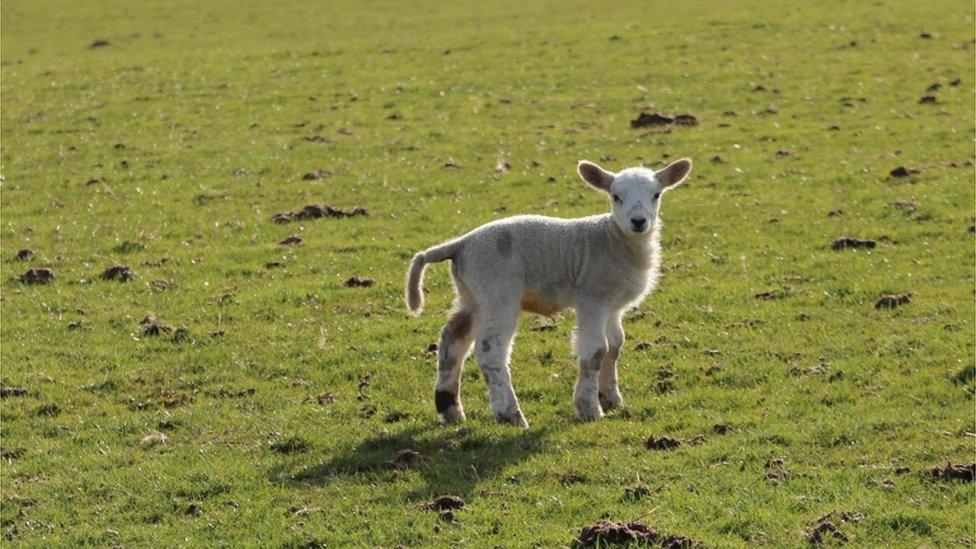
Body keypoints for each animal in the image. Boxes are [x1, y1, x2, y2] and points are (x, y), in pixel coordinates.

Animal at [406, 156, 692, 426]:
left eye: (656, 195)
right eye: (616, 196)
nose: (638, 221)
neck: (613, 240)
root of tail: (461, 244)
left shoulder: (612, 304)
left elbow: (615, 345)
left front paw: (610, 397)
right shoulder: (592, 297)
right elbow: (596, 351)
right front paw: (589, 408)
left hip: (471, 295)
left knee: (452, 340)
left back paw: (450, 408)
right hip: (497, 292)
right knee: (490, 352)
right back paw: (510, 414)